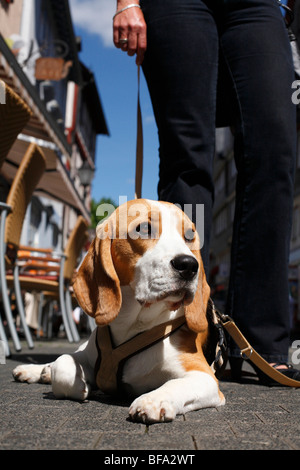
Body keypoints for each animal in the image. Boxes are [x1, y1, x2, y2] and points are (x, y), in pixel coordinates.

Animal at [12, 198, 224, 422]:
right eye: (144, 228)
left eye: (190, 236)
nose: (189, 265)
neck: (131, 325)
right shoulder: (88, 357)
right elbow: (63, 364)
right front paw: (80, 384)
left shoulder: (205, 376)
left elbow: (175, 383)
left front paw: (154, 399)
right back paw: (36, 370)